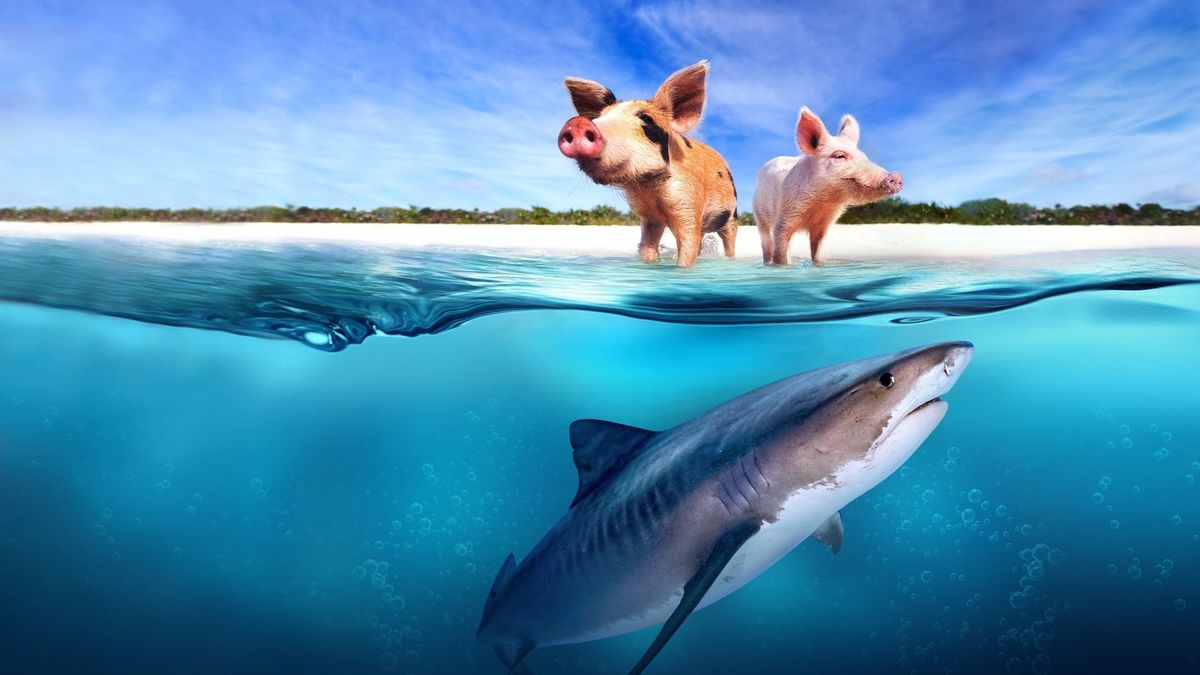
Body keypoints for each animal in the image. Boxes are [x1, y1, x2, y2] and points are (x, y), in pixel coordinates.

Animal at [557, 61, 739, 267]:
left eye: (646, 119)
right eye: (599, 117)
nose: (577, 123)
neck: (650, 188)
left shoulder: (689, 203)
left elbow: (687, 248)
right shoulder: (650, 218)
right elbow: (647, 247)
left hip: (732, 216)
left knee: (729, 240)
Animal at [753, 106, 903, 265]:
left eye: (865, 156)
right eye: (839, 156)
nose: (896, 176)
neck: (822, 202)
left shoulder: (824, 224)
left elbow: (818, 251)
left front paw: (819, 265)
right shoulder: (784, 218)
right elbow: (780, 253)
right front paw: (782, 267)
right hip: (758, 213)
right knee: (766, 242)